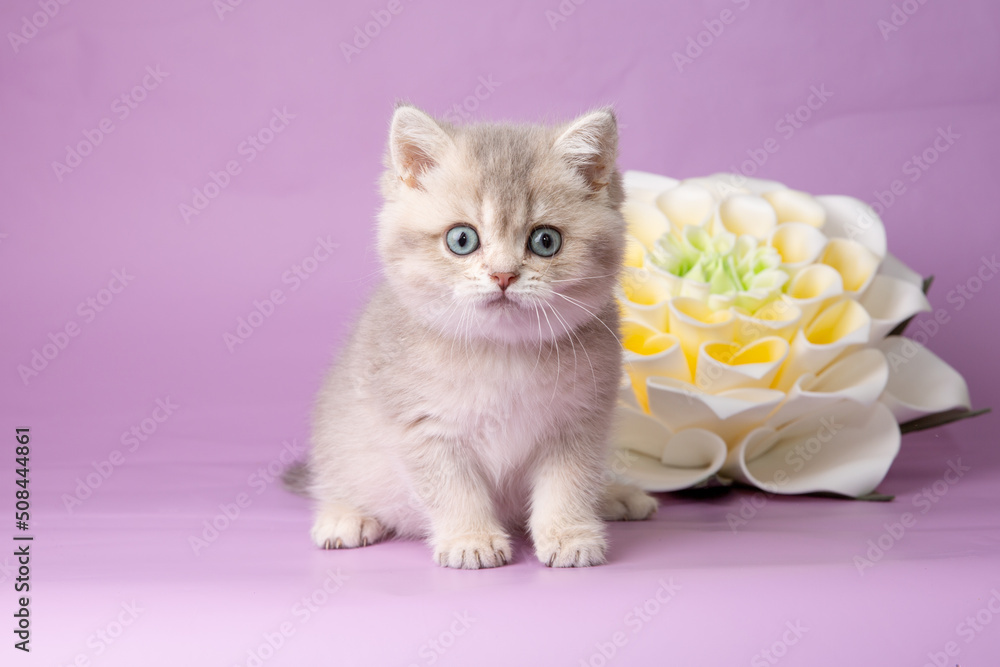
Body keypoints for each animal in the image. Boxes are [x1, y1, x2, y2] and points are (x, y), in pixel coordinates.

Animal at [292, 103, 656, 568]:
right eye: (462, 239)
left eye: (545, 241)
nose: (503, 275)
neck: (502, 353)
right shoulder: (424, 429)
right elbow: (453, 490)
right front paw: (472, 539)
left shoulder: (578, 424)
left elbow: (569, 485)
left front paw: (568, 534)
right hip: (343, 442)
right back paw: (343, 515)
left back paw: (615, 496)